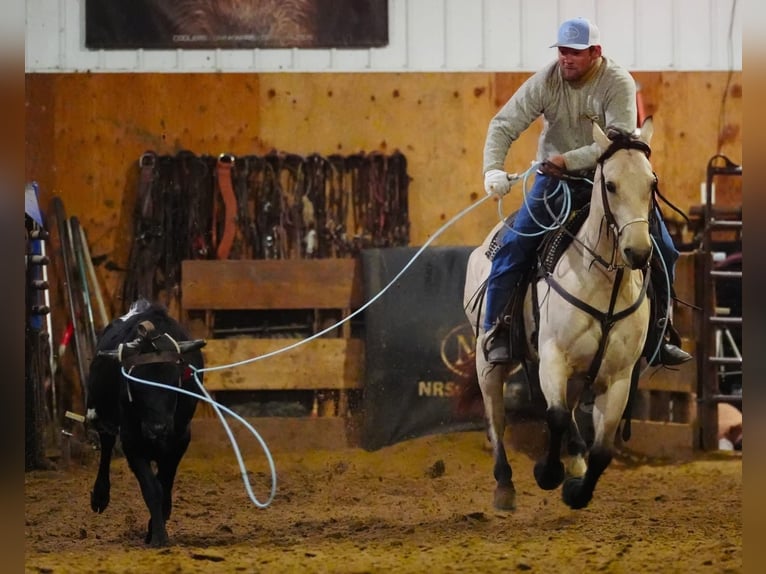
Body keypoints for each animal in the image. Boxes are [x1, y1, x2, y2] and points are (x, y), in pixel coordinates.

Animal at [464, 119, 656, 511]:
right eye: (610, 184)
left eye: (652, 184)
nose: (639, 252)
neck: (604, 285)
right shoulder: (553, 355)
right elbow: (552, 416)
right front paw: (548, 473)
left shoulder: (619, 376)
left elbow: (602, 448)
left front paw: (577, 490)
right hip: (487, 363)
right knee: (497, 419)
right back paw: (504, 485)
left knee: (568, 410)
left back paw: (576, 458)